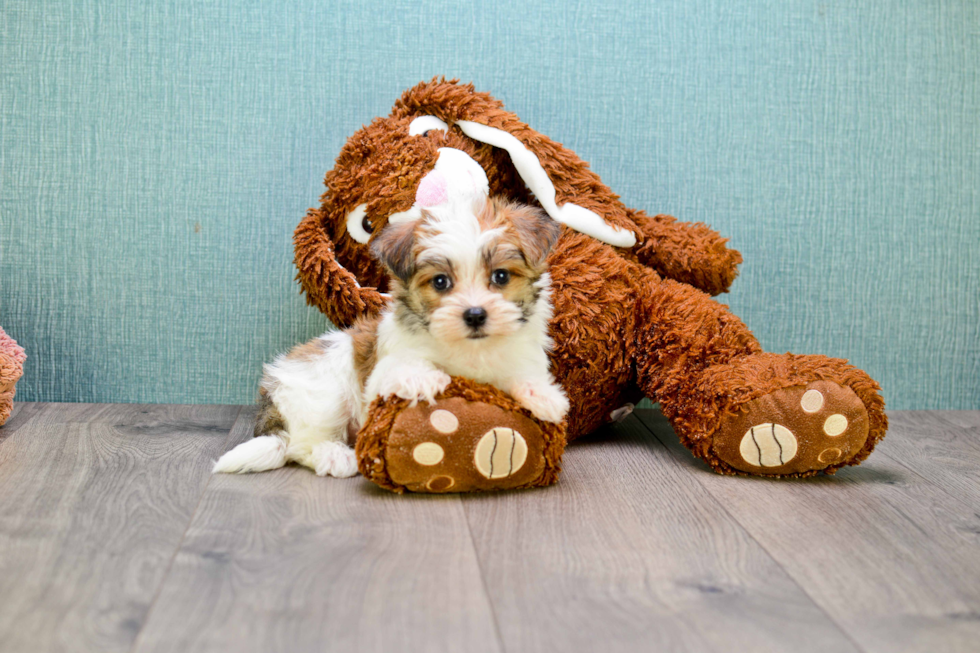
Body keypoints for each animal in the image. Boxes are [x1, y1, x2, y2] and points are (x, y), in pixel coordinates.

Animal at [212, 196, 568, 476]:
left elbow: (520, 372)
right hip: (322, 395)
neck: (468, 350)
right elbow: (405, 367)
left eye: (501, 276)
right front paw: (425, 378)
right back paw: (334, 455)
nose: (475, 315)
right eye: (441, 282)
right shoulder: (383, 372)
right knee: (300, 444)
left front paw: (543, 395)